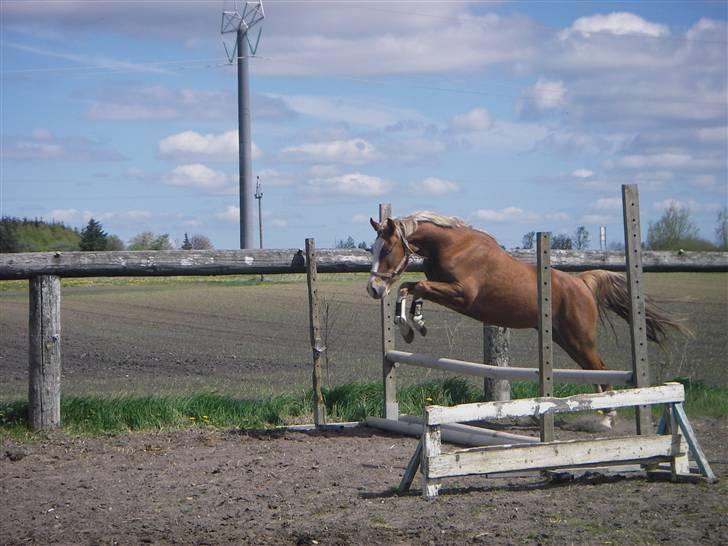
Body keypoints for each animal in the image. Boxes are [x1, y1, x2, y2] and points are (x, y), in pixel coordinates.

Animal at [366, 209, 692, 396]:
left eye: (388, 249)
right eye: (373, 248)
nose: (373, 288)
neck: (451, 245)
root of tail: (582, 283)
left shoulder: (462, 294)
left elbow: (417, 286)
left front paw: (414, 324)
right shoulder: (444, 290)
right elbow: (408, 288)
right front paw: (409, 325)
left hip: (580, 338)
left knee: (602, 369)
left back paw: (606, 418)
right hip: (565, 339)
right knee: (595, 371)